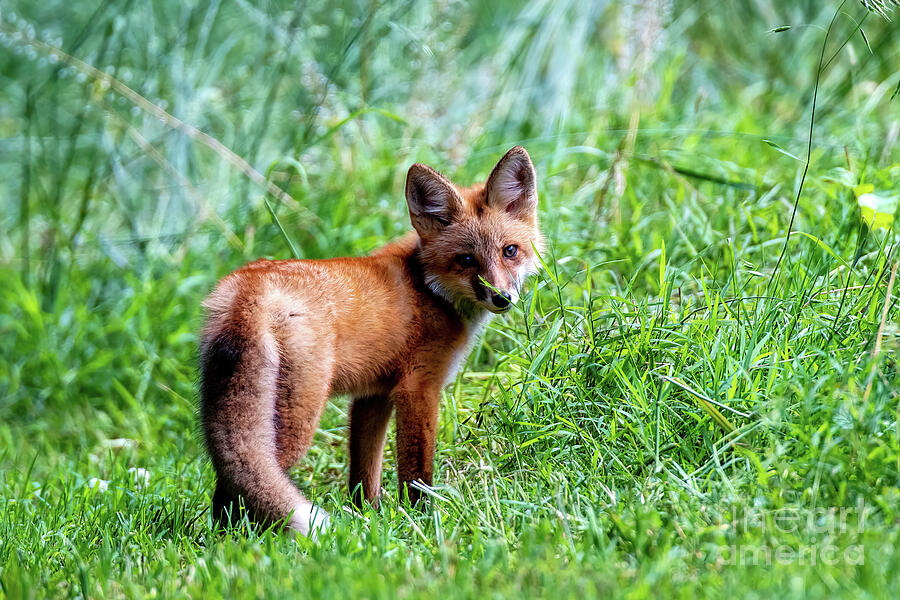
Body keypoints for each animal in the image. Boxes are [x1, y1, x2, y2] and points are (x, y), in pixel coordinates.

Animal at [199, 148, 540, 536]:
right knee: (239, 488)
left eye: (510, 251)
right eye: (466, 260)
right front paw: (421, 522)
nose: (502, 298)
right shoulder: (418, 388)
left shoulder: (372, 396)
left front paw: (369, 523)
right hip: (294, 419)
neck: (427, 287)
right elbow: (416, 473)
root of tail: (247, 291)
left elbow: (365, 474)